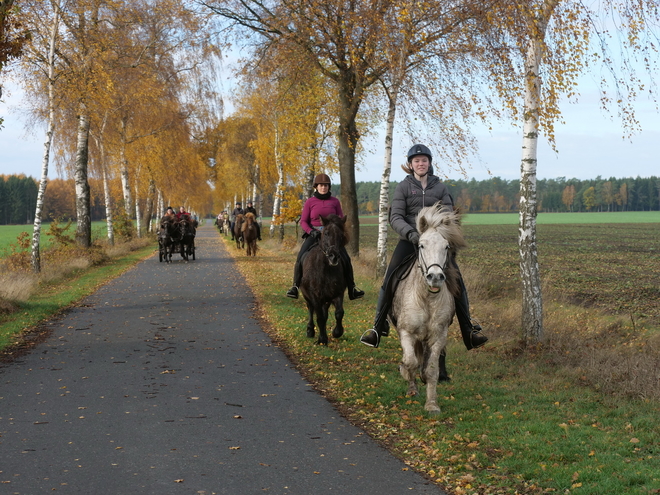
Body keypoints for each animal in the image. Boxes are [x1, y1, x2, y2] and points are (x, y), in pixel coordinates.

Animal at [300, 215, 348, 346]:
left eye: (341, 235)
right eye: (326, 233)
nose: (333, 256)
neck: (326, 269)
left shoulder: (337, 293)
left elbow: (339, 313)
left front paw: (337, 332)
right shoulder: (315, 296)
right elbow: (320, 317)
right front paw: (322, 340)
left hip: (326, 299)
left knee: (325, 313)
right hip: (308, 296)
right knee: (311, 309)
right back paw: (310, 331)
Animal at [390, 203, 466, 416]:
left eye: (446, 246)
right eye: (421, 245)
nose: (435, 277)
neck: (427, 298)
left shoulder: (438, 336)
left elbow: (431, 369)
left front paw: (432, 404)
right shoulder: (406, 332)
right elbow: (410, 361)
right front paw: (406, 374)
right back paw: (412, 387)